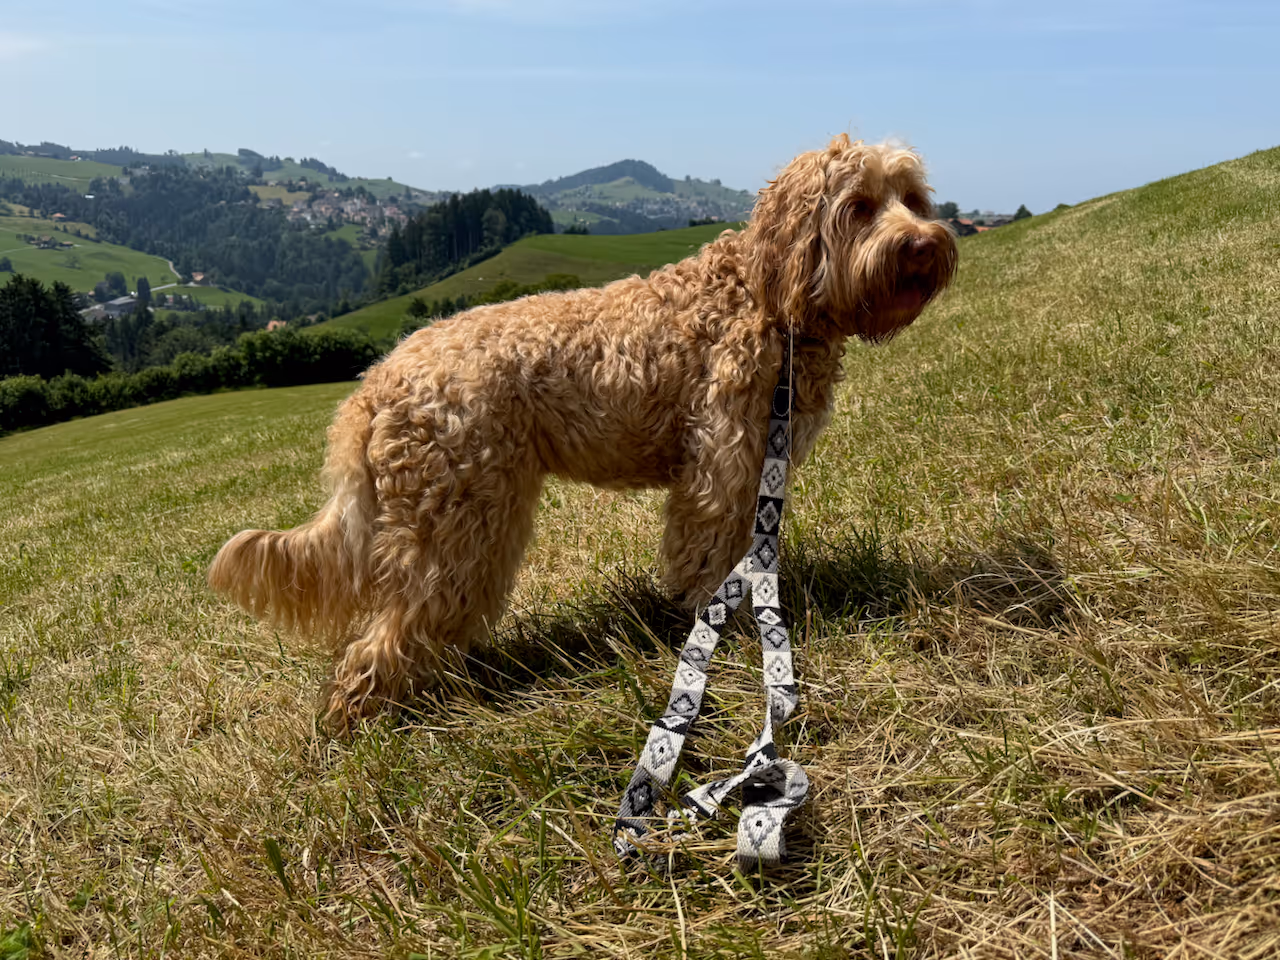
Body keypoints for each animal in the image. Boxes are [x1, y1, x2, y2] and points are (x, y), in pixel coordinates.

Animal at [208, 134, 958, 726]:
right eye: (858, 206)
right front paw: (727, 631)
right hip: (458, 522)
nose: (924, 244)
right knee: (389, 632)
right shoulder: (722, 466)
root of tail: (377, 379)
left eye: (913, 198)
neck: (772, 299)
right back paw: (365, 719)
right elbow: (710, 557)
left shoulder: (755, 472)